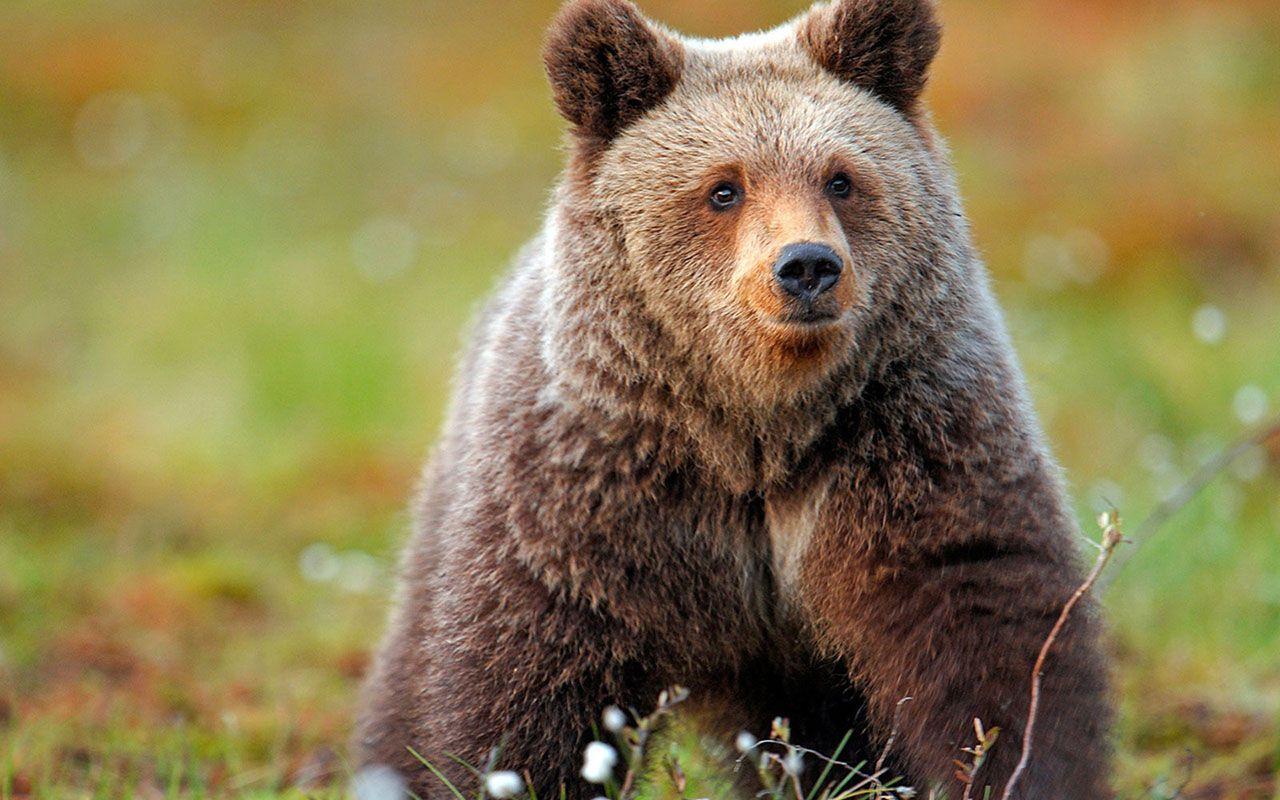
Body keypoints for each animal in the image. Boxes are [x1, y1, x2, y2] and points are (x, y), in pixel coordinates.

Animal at [355, 0, 1113, 797]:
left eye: (841, 178)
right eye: (724, 187)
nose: (807, 266)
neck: (755, 429)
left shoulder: (908, 443)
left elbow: (987, 625)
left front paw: (1010, 766)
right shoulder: (594, 493)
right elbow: (525, 676)